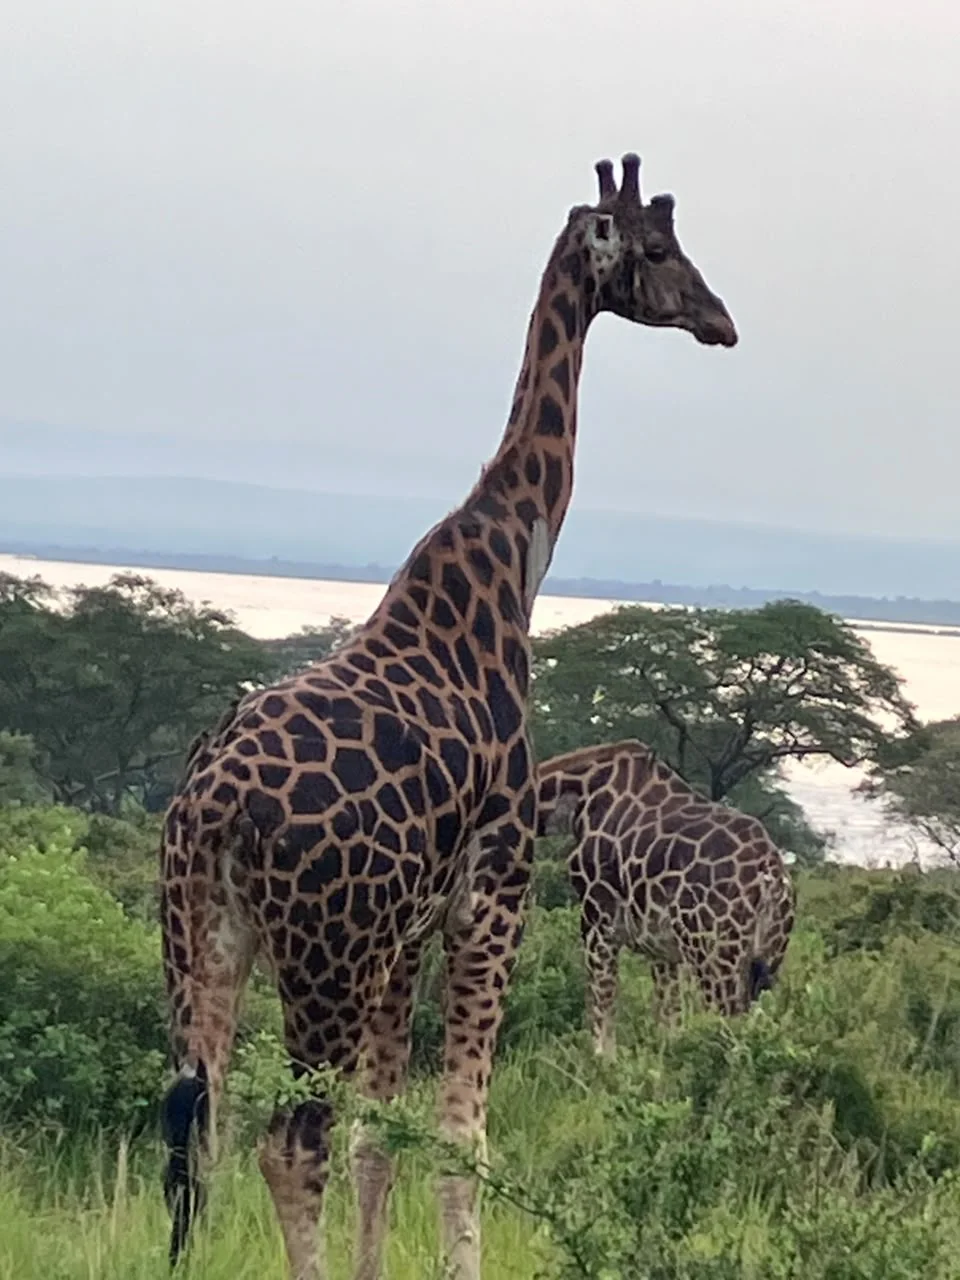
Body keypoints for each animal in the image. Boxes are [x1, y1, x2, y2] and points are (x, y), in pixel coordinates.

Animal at [158, 153, 738, 1280]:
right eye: (656, 250)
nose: (722, 321)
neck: (511, 566)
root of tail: (209, 809)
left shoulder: (408, 935)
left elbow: (384, 1134)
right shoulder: (493, 895)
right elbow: (461, 1134)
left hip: (202, 940)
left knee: (195, 1129)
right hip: (322, 961)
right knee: (286, 1140)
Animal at [537, 740, 795, 1056]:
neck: (580, 796)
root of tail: (769, 871)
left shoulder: (597, 918)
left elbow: (603, 999)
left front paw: (601, 1060)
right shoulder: (661, 947)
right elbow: (669, 1018)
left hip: (714, 953)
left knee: (729, 1024)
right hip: (768, 957)